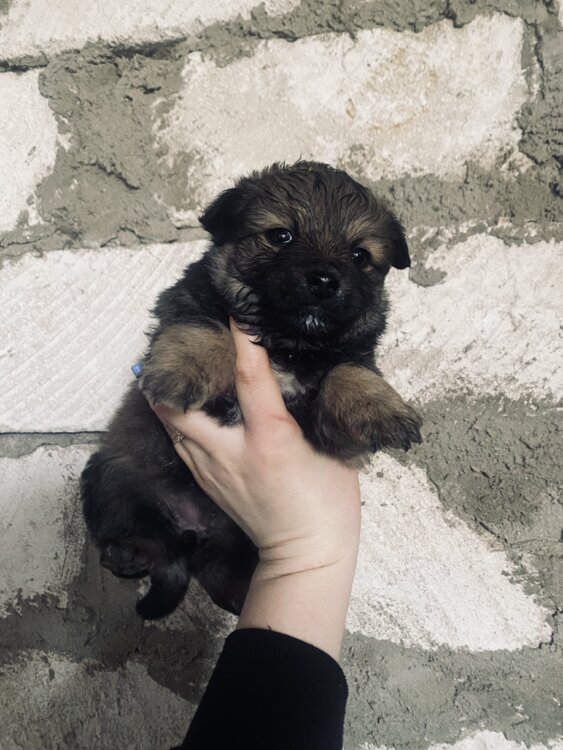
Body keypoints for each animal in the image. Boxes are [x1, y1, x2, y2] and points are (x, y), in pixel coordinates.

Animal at [81, 161, 422, 620]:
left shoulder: (333, 407)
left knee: (219, 575)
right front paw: (182, 370)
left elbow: (347, 371)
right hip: (114, 477)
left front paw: (381, 408)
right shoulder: (191, 300)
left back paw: (238, 596)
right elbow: (206, 329)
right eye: (281, 236)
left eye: (359, 255)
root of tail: (190, 535)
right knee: (142, 536)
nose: (324, 280)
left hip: (240, 543)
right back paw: (130, 553)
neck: (286, 341)